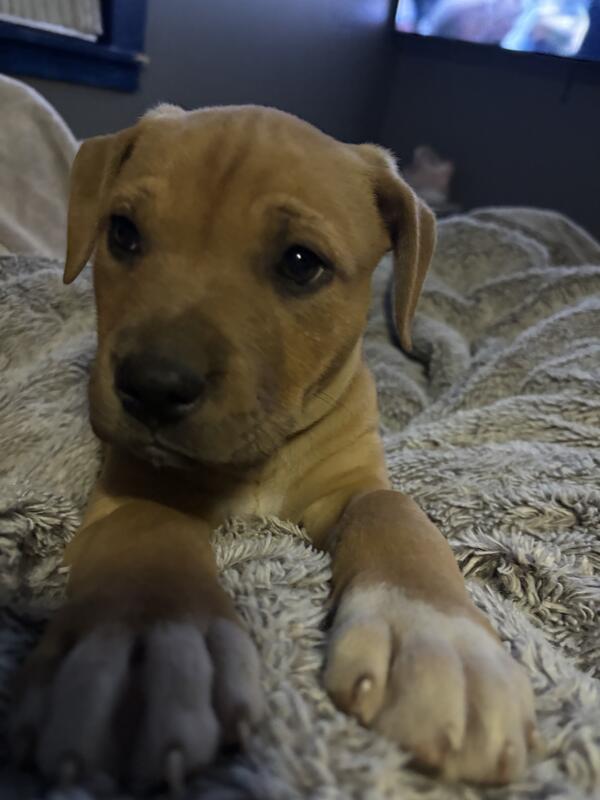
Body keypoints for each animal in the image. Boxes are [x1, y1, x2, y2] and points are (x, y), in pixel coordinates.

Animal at [11, 104, 537, 791]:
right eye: (122, 232)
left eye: (300, 262)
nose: (152, 387)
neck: (259, 456)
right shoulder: (130, 488)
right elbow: (149, 531)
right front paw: (146, 643)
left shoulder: (355, 481)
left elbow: (395, 513)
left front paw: (438, 637)